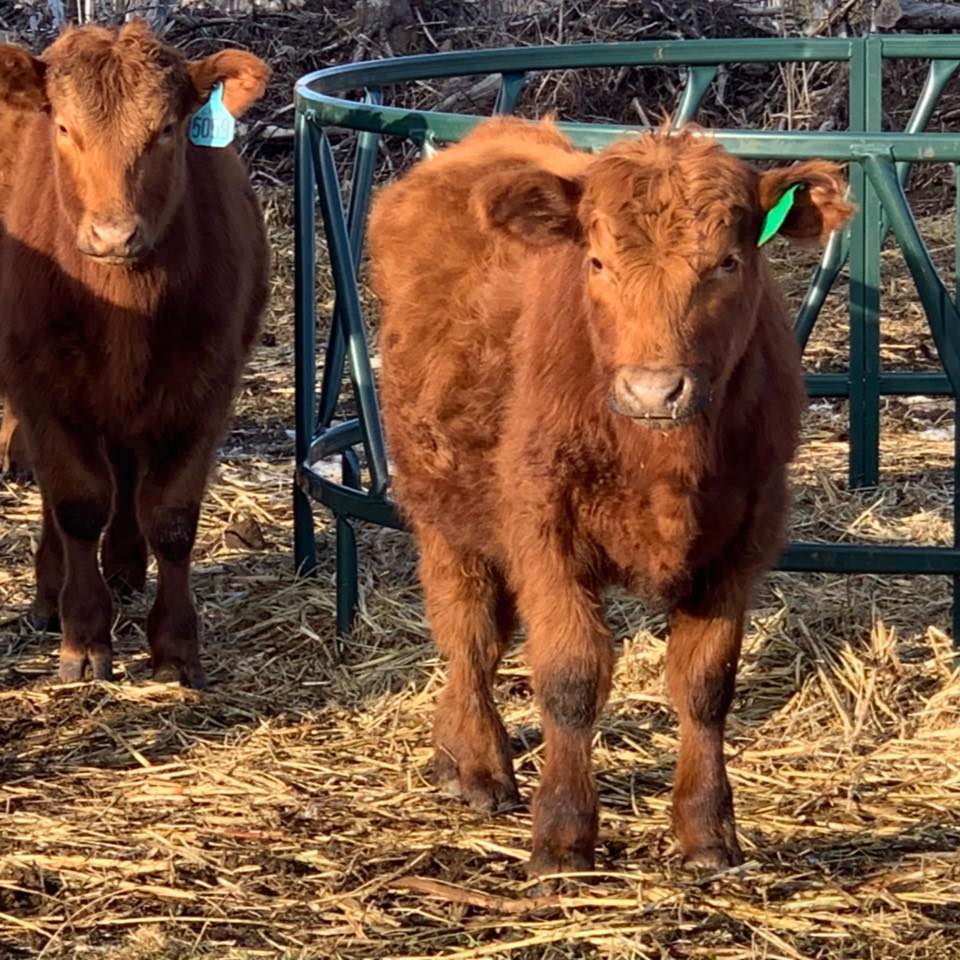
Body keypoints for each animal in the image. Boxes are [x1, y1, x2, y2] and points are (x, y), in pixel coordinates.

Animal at [0, 21, 270, 688]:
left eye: (167, 128)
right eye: (63, 126)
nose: (113, 234)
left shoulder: (207, 386)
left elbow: (170, 517)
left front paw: (175, 646)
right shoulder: (40, 386)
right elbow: (75, 503)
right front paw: (84, 636)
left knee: (124, 471)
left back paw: (122, 567)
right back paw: (51, 592)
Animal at [368, 117, 852, 876]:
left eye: (727, 263)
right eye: (596, 263)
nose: (654, 390)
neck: (662, 461)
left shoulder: (742, 540)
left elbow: (706, 686)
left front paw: (707, 833)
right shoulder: (545, 530)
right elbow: (571, 680)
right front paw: (564, 837)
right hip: (442, 508)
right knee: (468, 633)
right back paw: (475, 764)